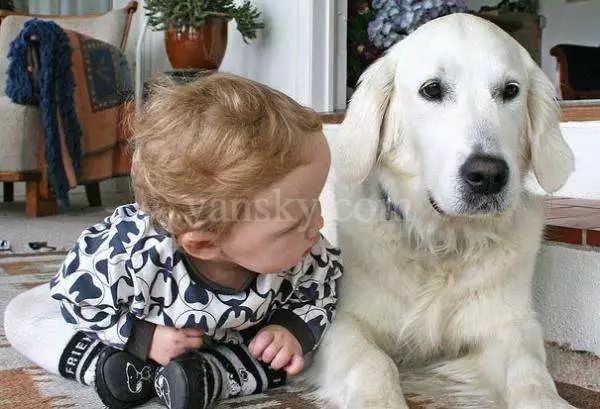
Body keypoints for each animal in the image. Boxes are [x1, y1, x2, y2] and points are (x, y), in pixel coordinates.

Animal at [301, 13, 575, 409]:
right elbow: (373, 363)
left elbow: (530, 374)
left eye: (510, 91)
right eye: (432, 90)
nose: (488, 176)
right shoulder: (340, 323)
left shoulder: (511, 327)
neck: (442, 244)